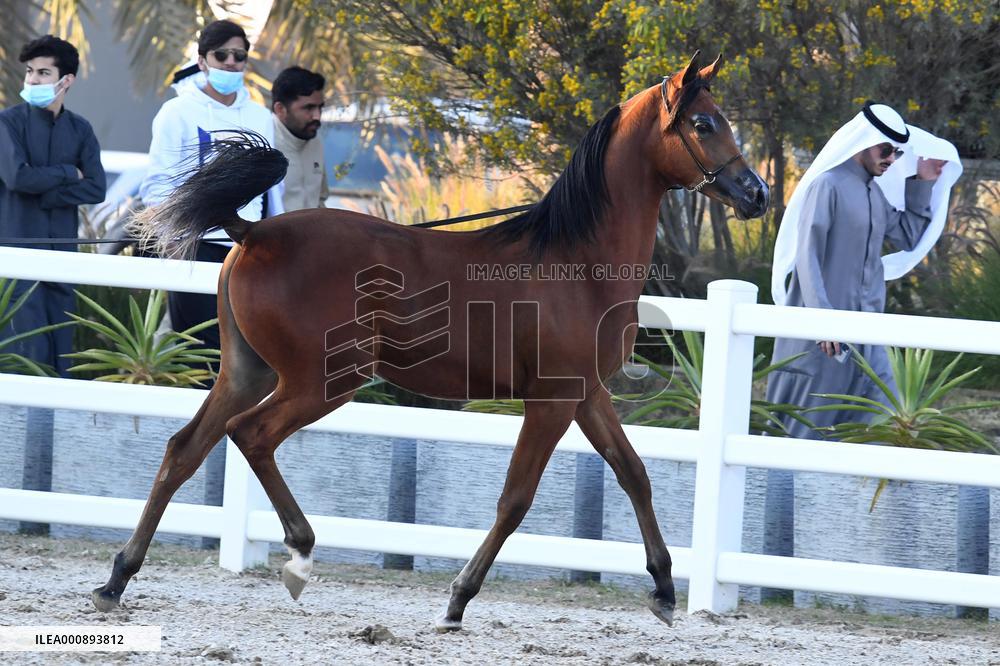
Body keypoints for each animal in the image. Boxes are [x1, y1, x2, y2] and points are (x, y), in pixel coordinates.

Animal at [92, 51, 768, 631]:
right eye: (704, 123)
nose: (755, 194)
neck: (578, 263)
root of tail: (252, 232)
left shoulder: (586, 394)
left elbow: (635, 474)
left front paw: (664, 590)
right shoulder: (551, 401)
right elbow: (515, 499)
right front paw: (457, 599)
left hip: (247, 373)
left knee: (185, 449)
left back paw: (117, 580)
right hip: (323, 381)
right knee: (251, 436)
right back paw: (300, 555)